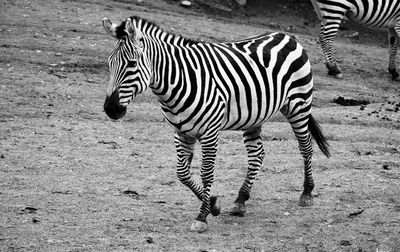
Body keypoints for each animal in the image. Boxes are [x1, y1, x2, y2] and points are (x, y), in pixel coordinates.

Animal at [101, 15, 330, 232]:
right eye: (109, 63)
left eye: (132, 64)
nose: (110, 109)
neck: (179, 80)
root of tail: (285, 36)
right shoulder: (181, 132)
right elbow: (183, 174)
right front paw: (213, 204)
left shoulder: (210, 132)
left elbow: (206, 173)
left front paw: (202, 217)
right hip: (255, 115)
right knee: (257, 154)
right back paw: (240, 200)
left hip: (299, 105)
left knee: (305, 147)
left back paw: (306, 193)